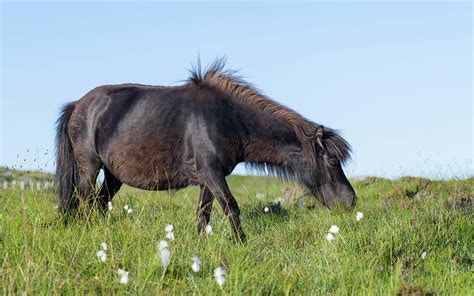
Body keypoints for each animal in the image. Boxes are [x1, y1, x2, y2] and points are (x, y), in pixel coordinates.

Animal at [56, 59, 356, 242]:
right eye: (332, 160)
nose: (350, 201)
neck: (229, 118)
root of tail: (78, 105)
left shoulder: (207, 179)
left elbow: (204, 214)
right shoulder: (212, 173)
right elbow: (231, 207)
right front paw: (241, 243)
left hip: (112, 175)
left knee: (98, 203)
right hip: (88, 167)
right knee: (85, 201)